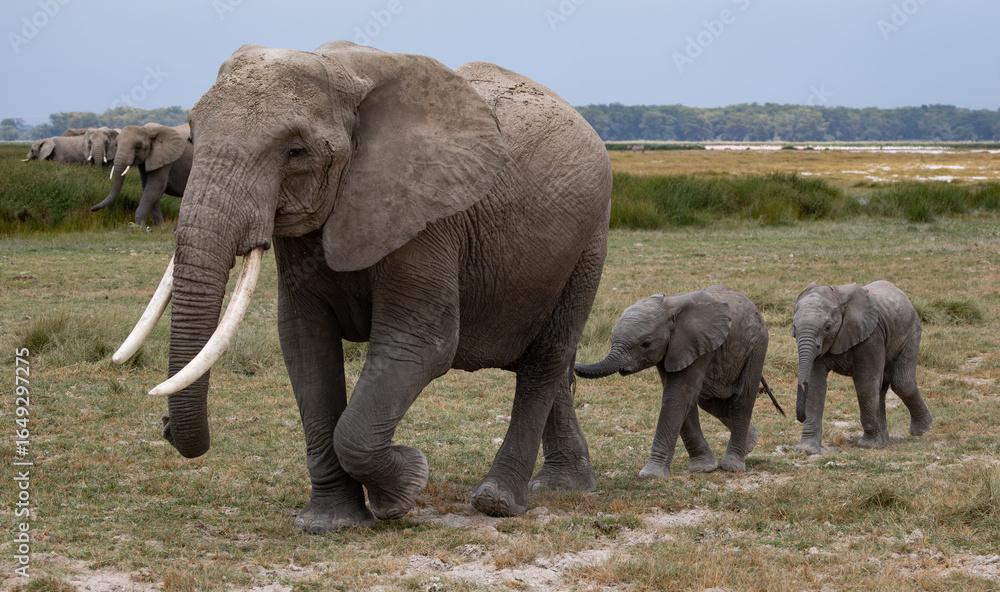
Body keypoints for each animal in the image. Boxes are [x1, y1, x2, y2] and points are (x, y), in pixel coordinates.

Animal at [111, 41, 612, 532]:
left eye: (296, 151)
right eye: (193, 136)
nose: (164, 424)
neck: (341, 74)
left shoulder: (425, 216)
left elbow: (421, 344)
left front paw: (405, 486)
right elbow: (304, 343)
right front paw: (329, 523)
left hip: (589, 242)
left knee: (545, 359)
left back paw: (498, 502)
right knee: (547, 362)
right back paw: (563, 485)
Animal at [576, 285, 782, 477]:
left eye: (646, 344)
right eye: (611, 337)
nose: (574, 364)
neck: (668, 307)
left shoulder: (696, 343)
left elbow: (678, 396)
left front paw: (651, 475)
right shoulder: (674, 349)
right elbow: (682, 397)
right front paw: (703, 468)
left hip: (757, 344)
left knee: (742, 399)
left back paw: (733, 466)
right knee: (710, 401)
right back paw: (750, 443)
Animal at [792, 281, 932, 455]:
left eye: (827, 327)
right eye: (794, 327)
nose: (800, 417)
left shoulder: (872, 335)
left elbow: (865, 382)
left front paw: (868, 445)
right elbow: (814, 385)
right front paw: (806, 450)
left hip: (911, 332)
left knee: (901, 383)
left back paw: (920, 429)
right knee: (882, 387)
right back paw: (884, 441)